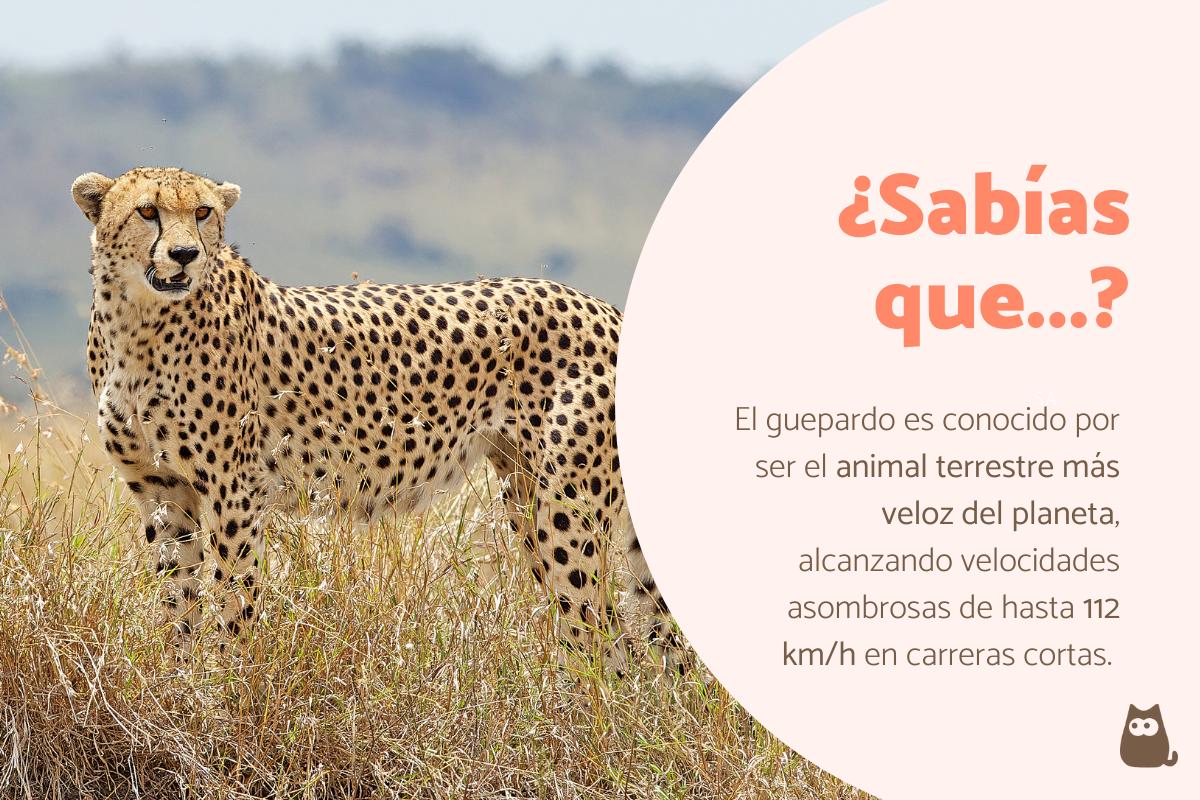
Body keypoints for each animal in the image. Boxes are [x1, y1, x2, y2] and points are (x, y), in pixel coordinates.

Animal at [72, 166, 676, 672]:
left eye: (202, 212)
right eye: (147, 211)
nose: (184, 254)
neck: (138, 322)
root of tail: (606, 308)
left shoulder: (234, 490)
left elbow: (232, 597)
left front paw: (223, 687)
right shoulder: (162, 488)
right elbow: (178, 599)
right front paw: (177, 679)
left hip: (567, 505)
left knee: (606, 633)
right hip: (527, 491)